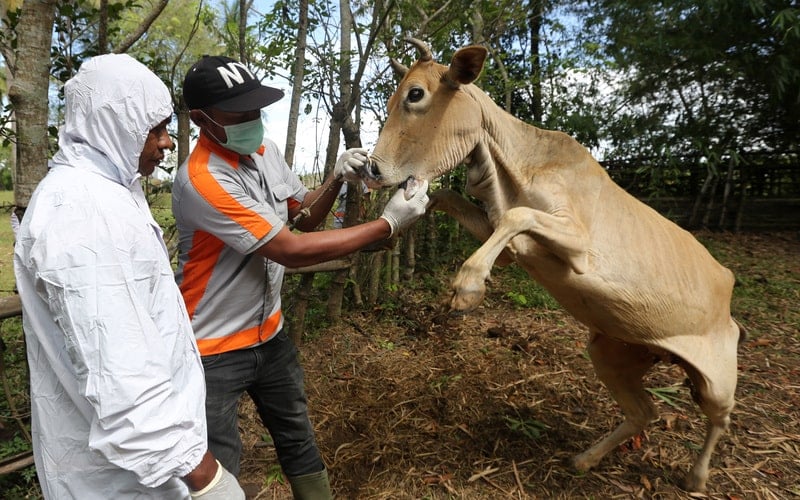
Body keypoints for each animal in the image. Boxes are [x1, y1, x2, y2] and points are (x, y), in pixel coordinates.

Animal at [362, 38, 744, 492]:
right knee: (644, 412)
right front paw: (389, 232)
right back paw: (584, 459)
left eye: (416, 94)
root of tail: (727, 278)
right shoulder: (507, 242)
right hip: (611, 349)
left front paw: (467, 289)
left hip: (718, 374)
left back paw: (696, 478)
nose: (372, 168)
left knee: (720, 418)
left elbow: (517, 215)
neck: (513, 169)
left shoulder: (580, 246)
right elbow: (447, 199)